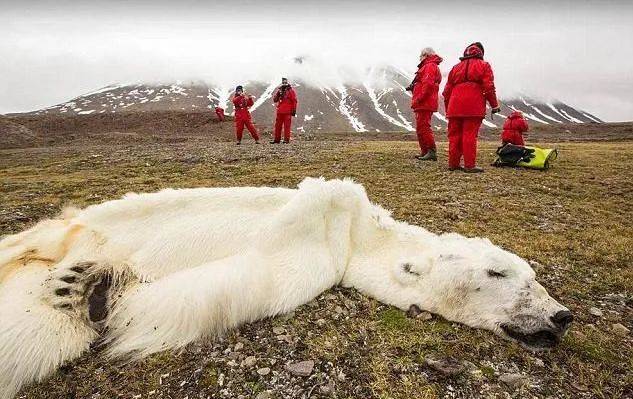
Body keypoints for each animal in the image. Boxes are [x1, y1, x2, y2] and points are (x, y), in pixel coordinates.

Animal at [0, 179, 572, 399]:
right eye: (499, 273)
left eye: (533, 277)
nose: (561, 315)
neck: (356, 234)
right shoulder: (322, 221)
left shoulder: (314, 263)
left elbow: (232, 282)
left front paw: (105, 292)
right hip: (71, 230)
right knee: (37, 241)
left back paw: (80, 286)